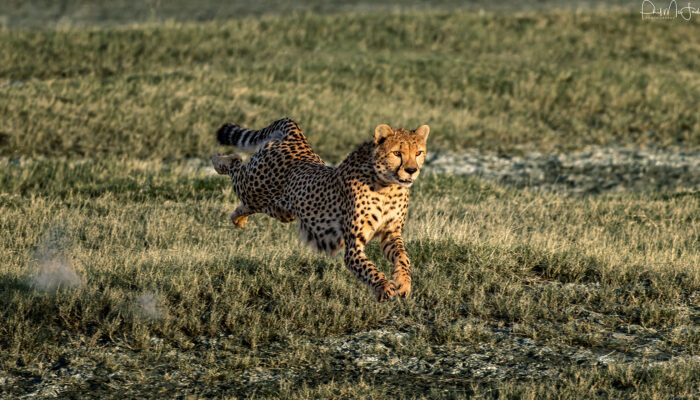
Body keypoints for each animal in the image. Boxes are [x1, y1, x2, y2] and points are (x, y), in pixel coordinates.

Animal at [211, 117, 430, 302]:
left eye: (418, 153)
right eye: (397, 153)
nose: (412, 170)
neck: (388, 186)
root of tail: (296, 138)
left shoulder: (390, 233)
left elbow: (403, 257)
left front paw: (403, 283)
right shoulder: (353, 245)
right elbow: (369, 268)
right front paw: (383, 287)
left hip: (280, 210)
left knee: (246, 204)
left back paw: (238, 218)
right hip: (253, 187)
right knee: (237, 167)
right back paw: (218, 161)